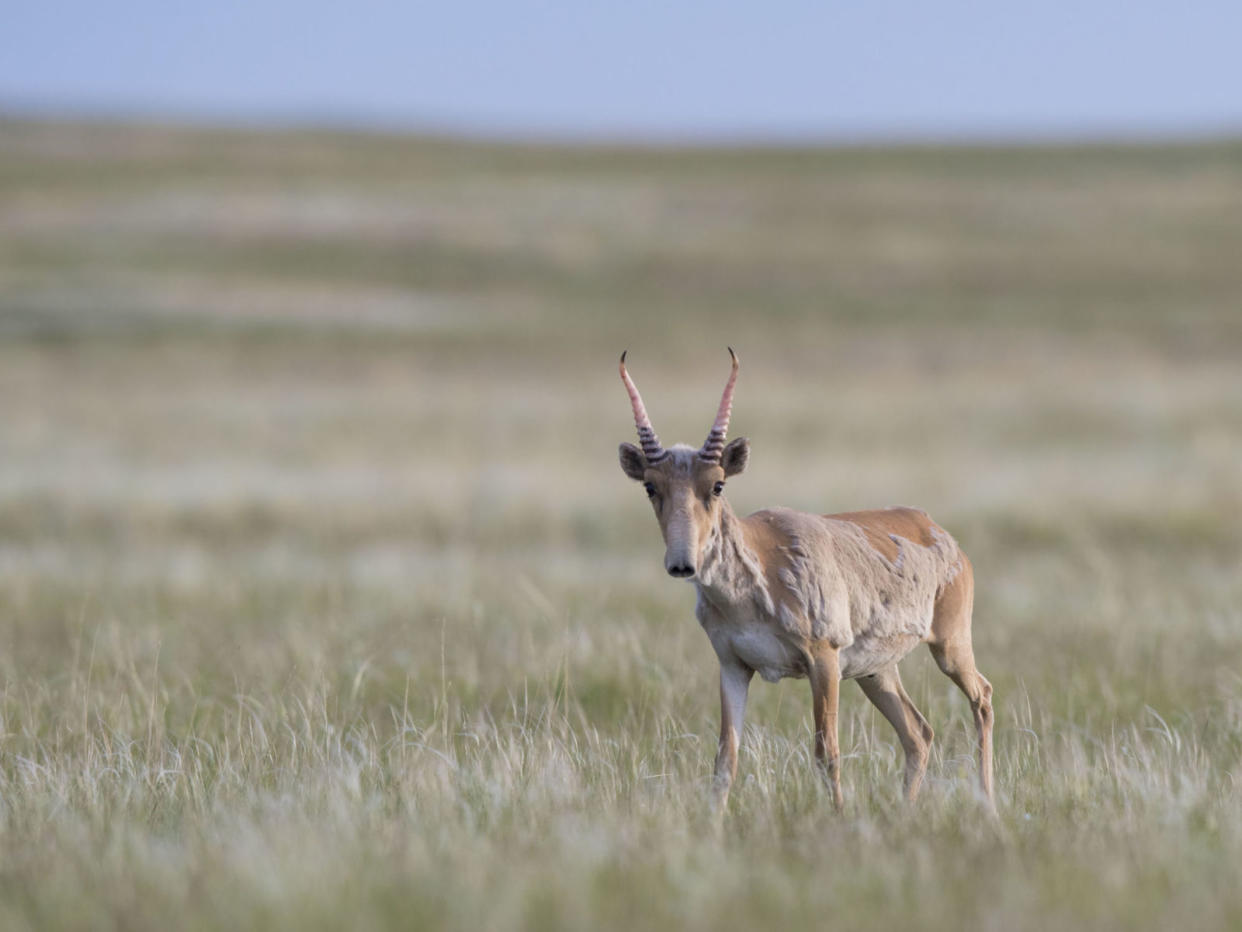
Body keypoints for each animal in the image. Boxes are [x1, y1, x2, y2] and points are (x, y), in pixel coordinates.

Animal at [616, 350, 993, 810]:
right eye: (651, 486)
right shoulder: (733, 665)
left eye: (718, 484)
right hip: (876, 671)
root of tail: (937, 529)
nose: (682, 564)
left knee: (982, 697)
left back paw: (989, 804)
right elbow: (725, 759)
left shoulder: (823, 659)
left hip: (949, 646)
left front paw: (839, 816)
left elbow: (826, 751)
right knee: (918, 733)